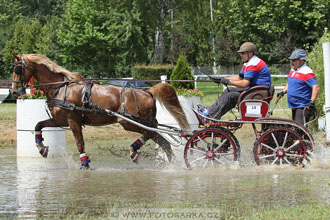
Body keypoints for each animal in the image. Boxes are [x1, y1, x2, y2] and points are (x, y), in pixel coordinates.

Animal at [11, 53, 189, 168]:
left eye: (18, 70)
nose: (14, 91)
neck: (60, 88)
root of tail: (148, 92)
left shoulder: (73, 121)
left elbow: (80, 144)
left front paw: (85, 164)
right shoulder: (59, 120)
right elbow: (38, 125)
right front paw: (41, 147)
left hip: (129, 121)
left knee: (153, 134)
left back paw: (138, 150)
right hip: (141, 122)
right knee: (161, 140)